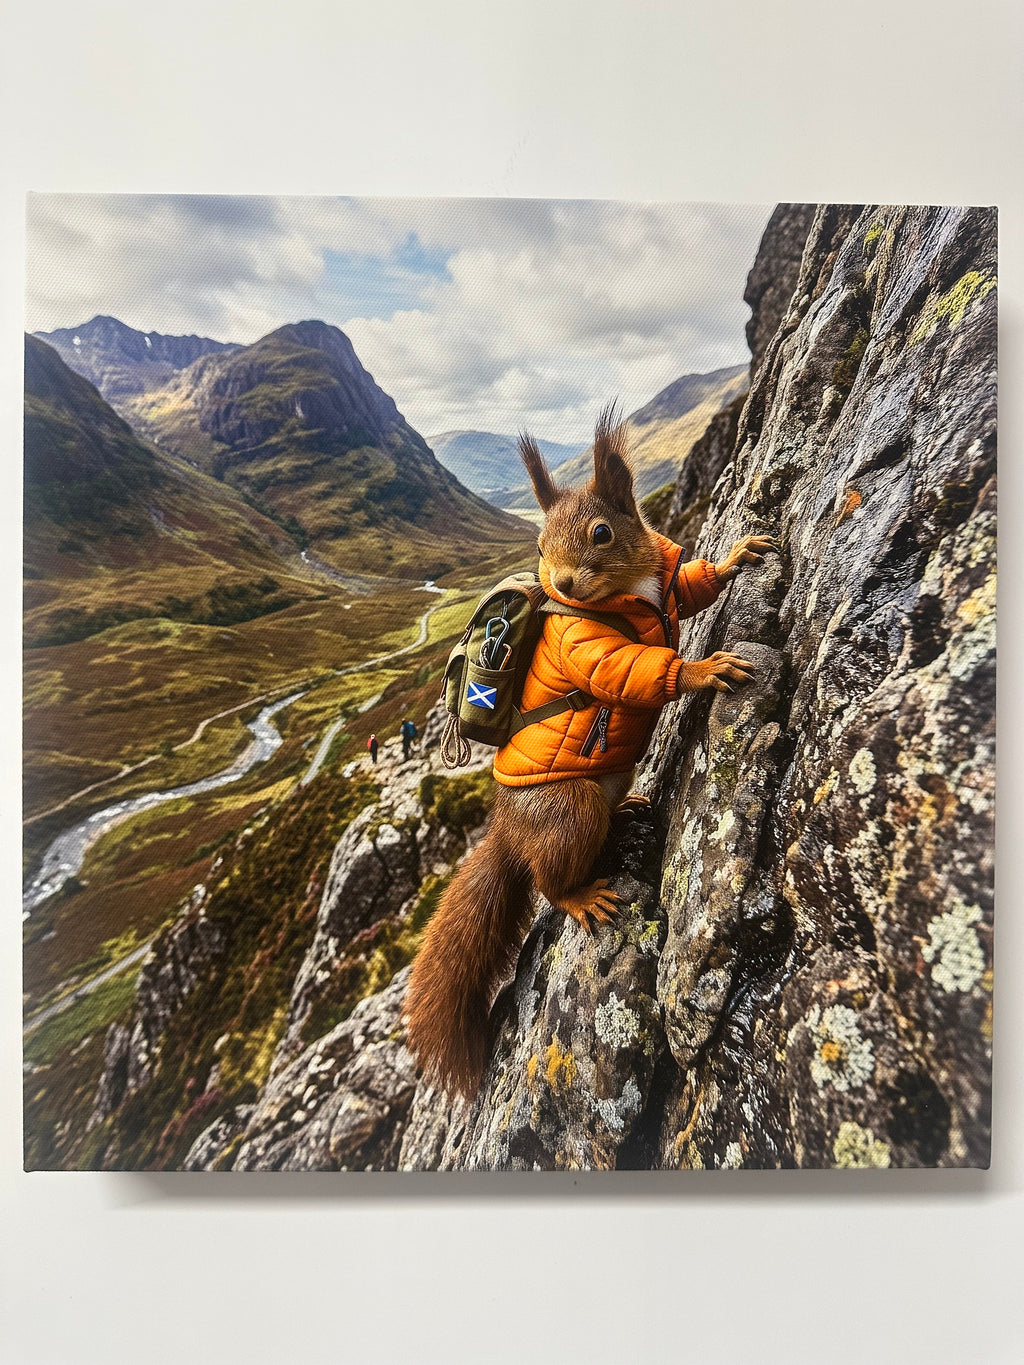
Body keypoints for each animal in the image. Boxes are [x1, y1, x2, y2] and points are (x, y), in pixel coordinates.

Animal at [405, 404, 776, 1097]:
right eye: (540, 547)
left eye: (602, 532)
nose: (562, 581)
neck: (630, 590)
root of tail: (508, 832)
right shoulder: (584, 642)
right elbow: (628, 670)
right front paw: (702, 669)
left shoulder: (667, 580)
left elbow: (690, 586)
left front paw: (738, 555)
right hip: (568, 810)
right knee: (549, 882)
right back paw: (581, 896)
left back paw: (628, 806)